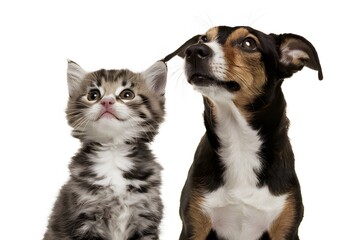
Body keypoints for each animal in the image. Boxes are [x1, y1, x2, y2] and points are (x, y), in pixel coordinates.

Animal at [44, 60, 167, 240]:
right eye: (93, 95)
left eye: (127, 95)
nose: (107, 101)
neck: (113, 152)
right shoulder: (85, 217)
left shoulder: (145, 219)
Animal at [162, 24, 322, 240]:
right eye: (204, 39)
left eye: (248, 43)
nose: (194, 51)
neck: (239, 141)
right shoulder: (194, 226)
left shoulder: (285, 228)